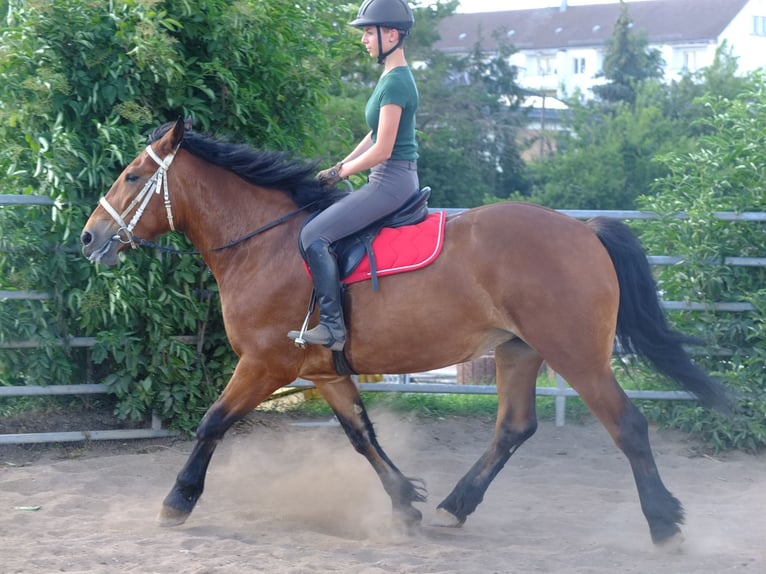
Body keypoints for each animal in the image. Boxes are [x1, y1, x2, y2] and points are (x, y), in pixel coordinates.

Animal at [79, 120, 732, 548]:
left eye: (132, 176)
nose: (89, 238)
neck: (266, 244)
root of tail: (585, 231)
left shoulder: (267, 365)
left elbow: (213, 422)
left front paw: (177, 501)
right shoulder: (324, 372)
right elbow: (361, 436)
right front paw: (404, 502)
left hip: (578, 356)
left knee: (628, 425)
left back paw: (665, 525)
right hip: (519, 352)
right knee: (513, 429)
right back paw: (454, 507)